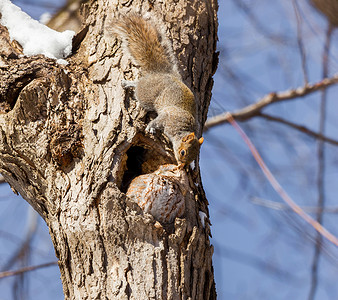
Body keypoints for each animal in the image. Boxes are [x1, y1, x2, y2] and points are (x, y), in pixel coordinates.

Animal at [113, 14, 203, 166]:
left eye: (192, 159)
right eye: (183, 152)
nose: (181, 165)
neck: (182, 130)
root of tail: (160, 73)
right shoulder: (168, 118)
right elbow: (157, 121)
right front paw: (151, 127)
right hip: (147, 95)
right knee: (139, 86)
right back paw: (129, 83)